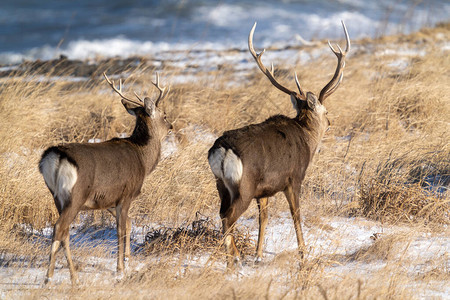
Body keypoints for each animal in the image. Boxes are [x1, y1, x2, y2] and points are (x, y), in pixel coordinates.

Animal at [39, 71, 172, 282]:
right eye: (164, 115)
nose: (171, 126)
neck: (143, 159)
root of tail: (55, 156)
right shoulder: (126, 194)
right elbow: (120, 229)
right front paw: (120, 269)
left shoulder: (107, 199)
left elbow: (129, 224)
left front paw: (127, 259)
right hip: (76, 194)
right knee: (59, 227)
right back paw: (52, 277)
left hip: (57, 196)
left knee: (64, 231)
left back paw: (70, 275)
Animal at [208, 21, 352, 268]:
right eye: (326, 111)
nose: (330, 123)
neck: (307, 138)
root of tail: (222, 150)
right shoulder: (294, 178)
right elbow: (296, 215)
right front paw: (303, 254)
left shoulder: (264, 190)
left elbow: (263, 219)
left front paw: (258, 255)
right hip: (244, 185)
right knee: (228, 218)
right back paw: (233, 261)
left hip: (222, 185)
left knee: (222, 214)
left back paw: (234, 258)